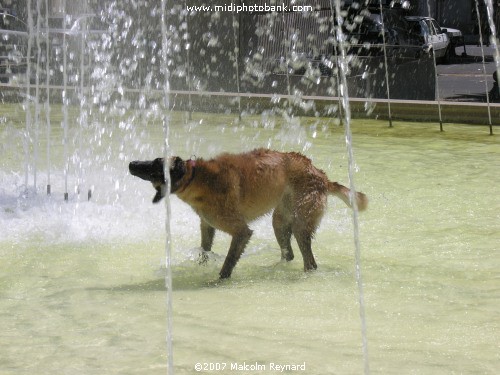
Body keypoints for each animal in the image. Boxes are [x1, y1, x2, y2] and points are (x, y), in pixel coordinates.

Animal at [129, 149, 368, 280]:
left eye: (154, 166)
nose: (131, 163)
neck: (196, 177)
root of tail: (322, 176)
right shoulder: (207, 226)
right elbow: (204, 251)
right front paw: (199, 268)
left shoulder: (241, 232)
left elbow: (227, 264)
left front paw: (217, 281)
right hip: (279, 221)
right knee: (289, 253)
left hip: (301, 224)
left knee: (309, 262)